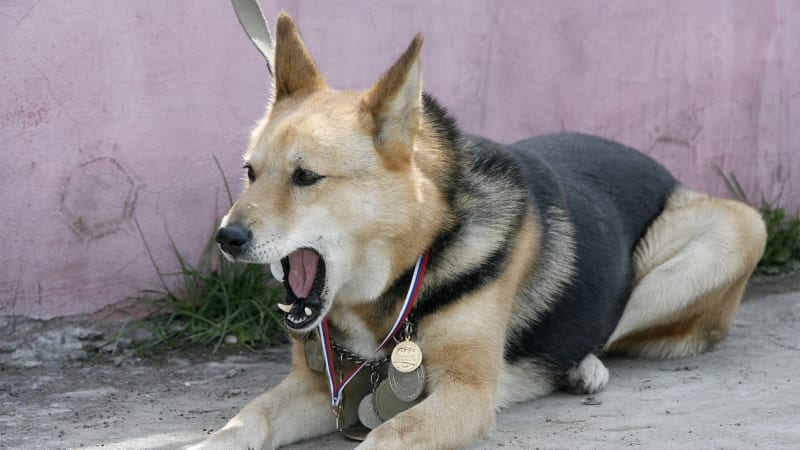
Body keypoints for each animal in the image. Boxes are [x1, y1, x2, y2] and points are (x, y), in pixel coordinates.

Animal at [190, 2, 766, 449]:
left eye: (306, 177)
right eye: (250, 172)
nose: (227, 239)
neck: (412, 259)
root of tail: (667, 172)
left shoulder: (464, 393)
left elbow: (389, 433)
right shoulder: (312, 386)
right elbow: (244, 422)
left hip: (729, 236)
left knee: (618, 326)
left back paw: (583, 367)